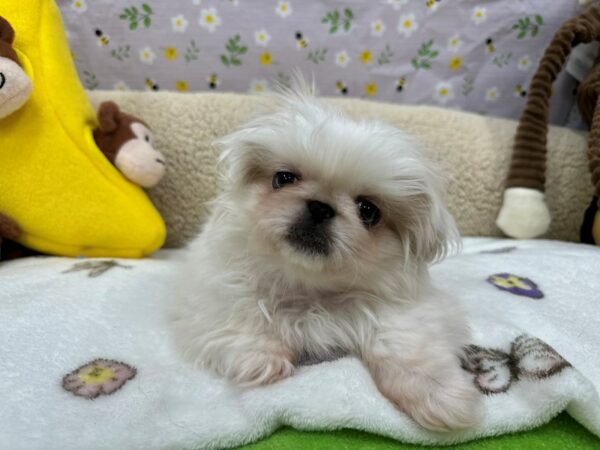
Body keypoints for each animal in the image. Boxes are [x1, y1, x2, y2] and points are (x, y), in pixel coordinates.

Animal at [170, 82, 482, 430]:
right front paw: (261, 361)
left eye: (368, 211)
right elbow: (241, 319)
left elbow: (402, 341)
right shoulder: (213, 296)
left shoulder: (411, 311)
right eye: (284, 178)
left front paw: (441, 397)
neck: (309, 286)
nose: (320, 207)